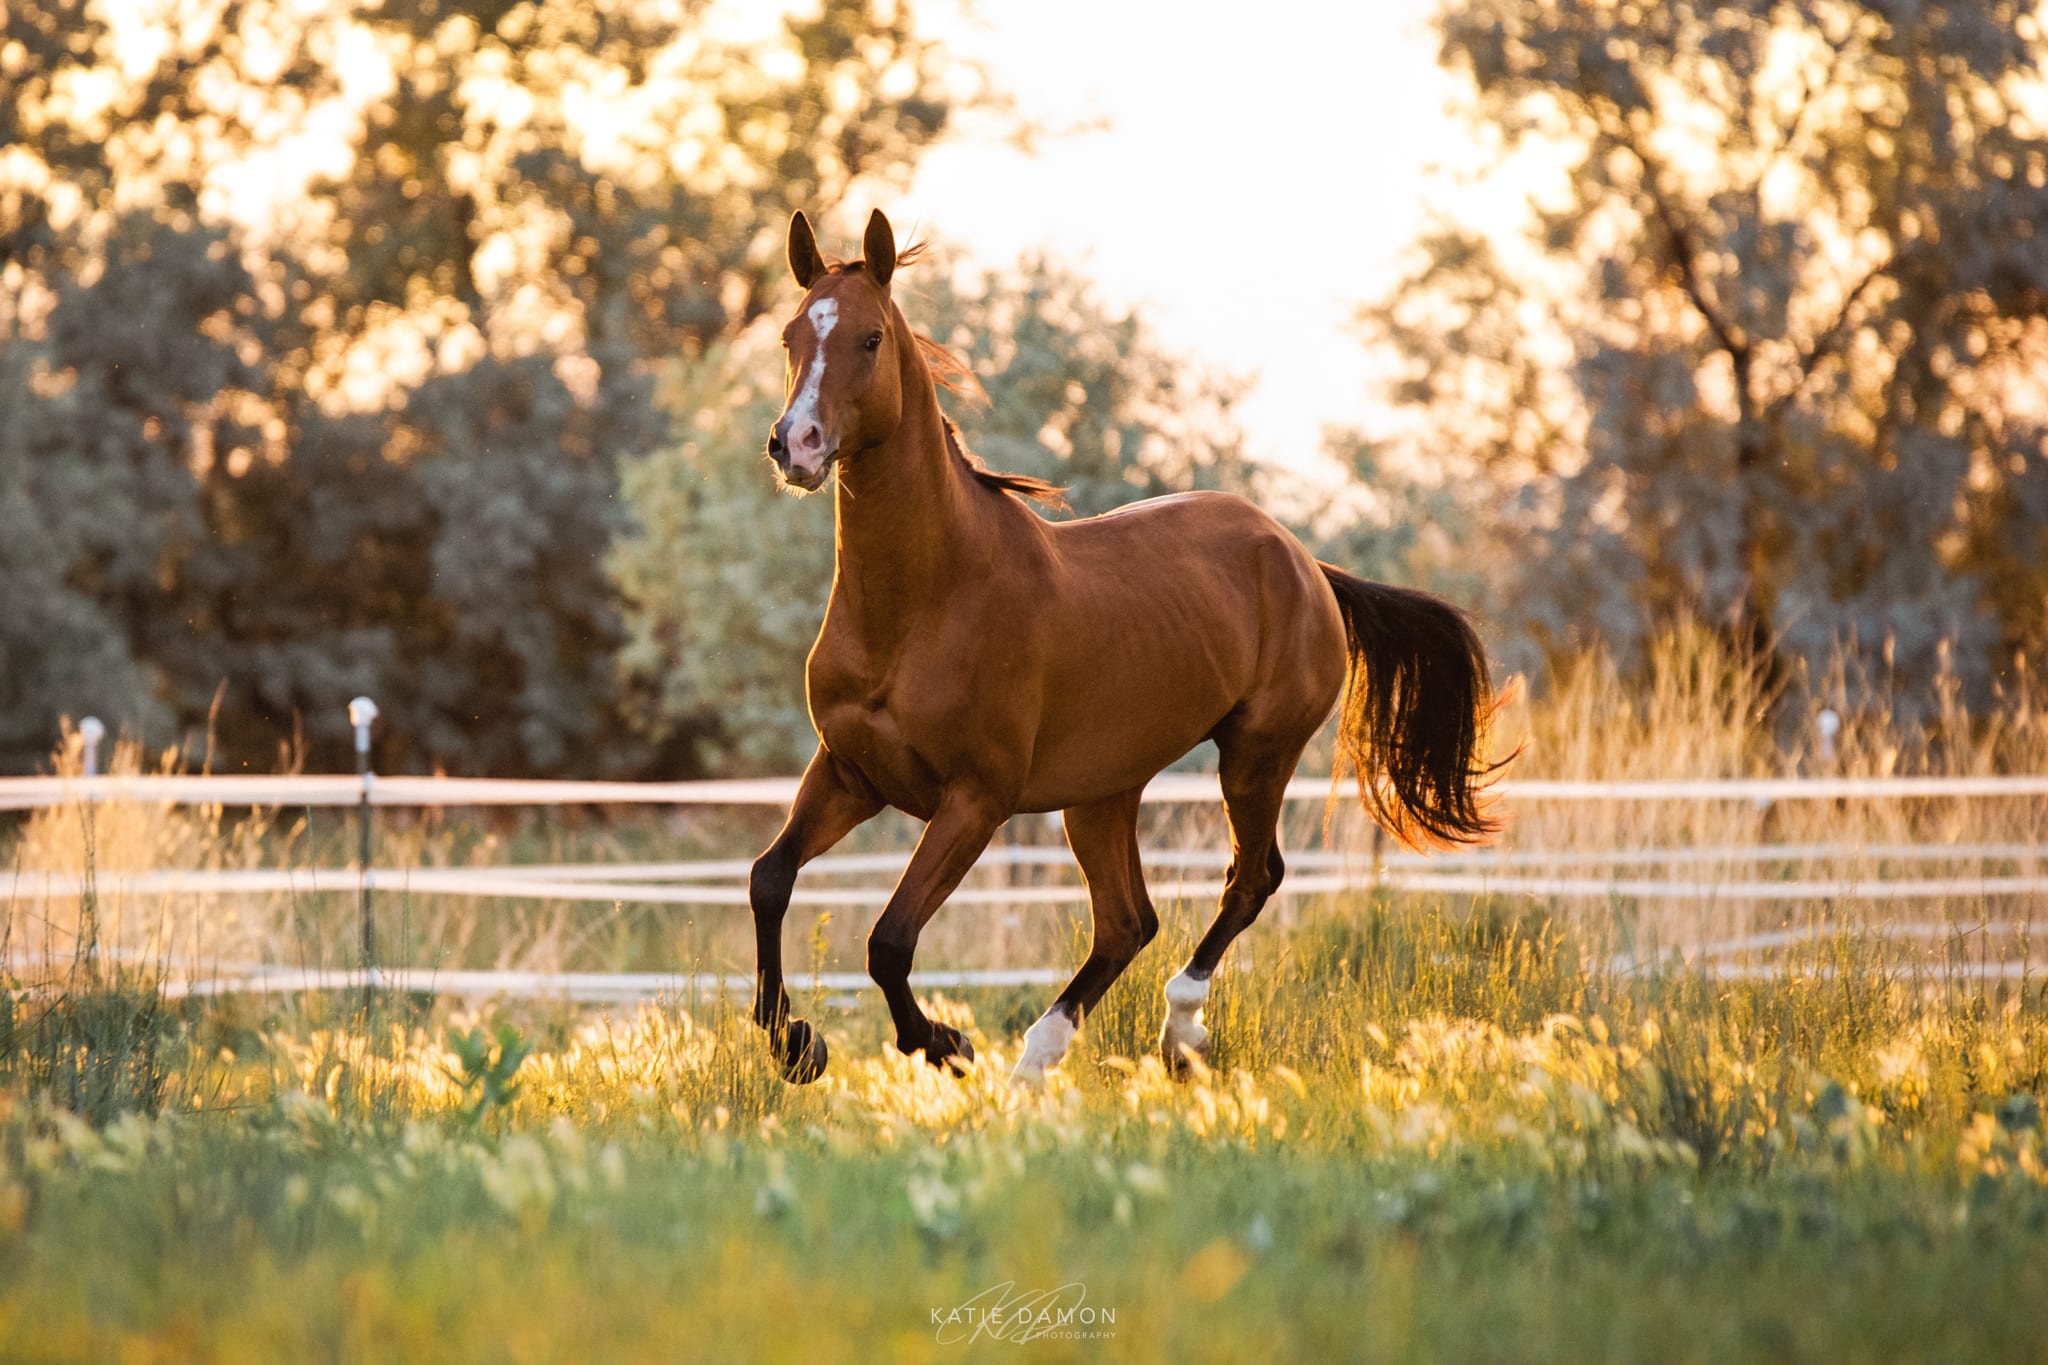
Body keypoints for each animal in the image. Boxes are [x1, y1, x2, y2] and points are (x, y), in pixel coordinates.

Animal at [748, 209, 1499, 1086]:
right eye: (792, 334)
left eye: (869, 338)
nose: (796, 445)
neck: (923, 601)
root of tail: (1306, 562)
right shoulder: (850, 772)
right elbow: (770, 879)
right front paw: (795, 1042)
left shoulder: (976, 798)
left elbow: (889, 940)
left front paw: (943, 1043)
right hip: (1103, 792)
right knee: (1127, 920)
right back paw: (1038, 1059)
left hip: (1255, 753)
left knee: (1250, 879)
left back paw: (1176, 1032)